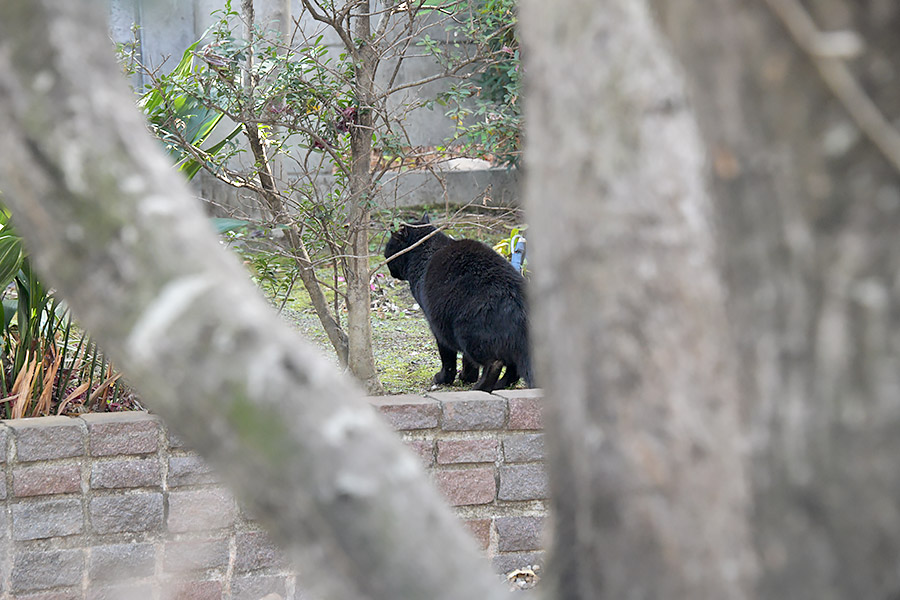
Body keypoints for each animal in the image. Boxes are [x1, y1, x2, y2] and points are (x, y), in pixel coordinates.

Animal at [384, 216, 532, 394]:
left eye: (388, 247)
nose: (386, 260)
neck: (424, 253)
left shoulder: (438, 326)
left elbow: (448, 359)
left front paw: (445, 379)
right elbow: (467, 361)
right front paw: (467, 377)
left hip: (466, 332)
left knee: (494, 363)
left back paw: (479, 388)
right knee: (513, 367)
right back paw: (500, 384)